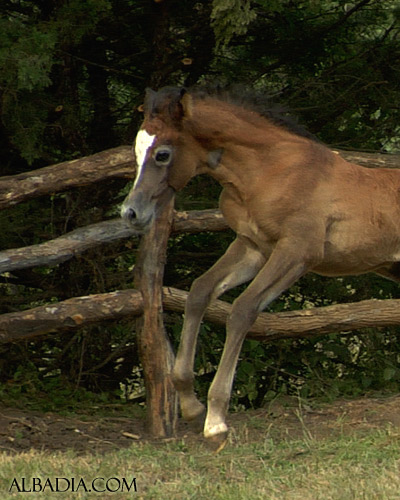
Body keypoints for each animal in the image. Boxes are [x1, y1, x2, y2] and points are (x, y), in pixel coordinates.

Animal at [120, 86, 400, 446]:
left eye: (163, 154)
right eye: (137, 150)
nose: (130, 213)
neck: (268, 172)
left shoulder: (297, 252)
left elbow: (243, 310)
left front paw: (216, 422)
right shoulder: (253, 246)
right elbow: (199, 292)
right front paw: (191, 405)